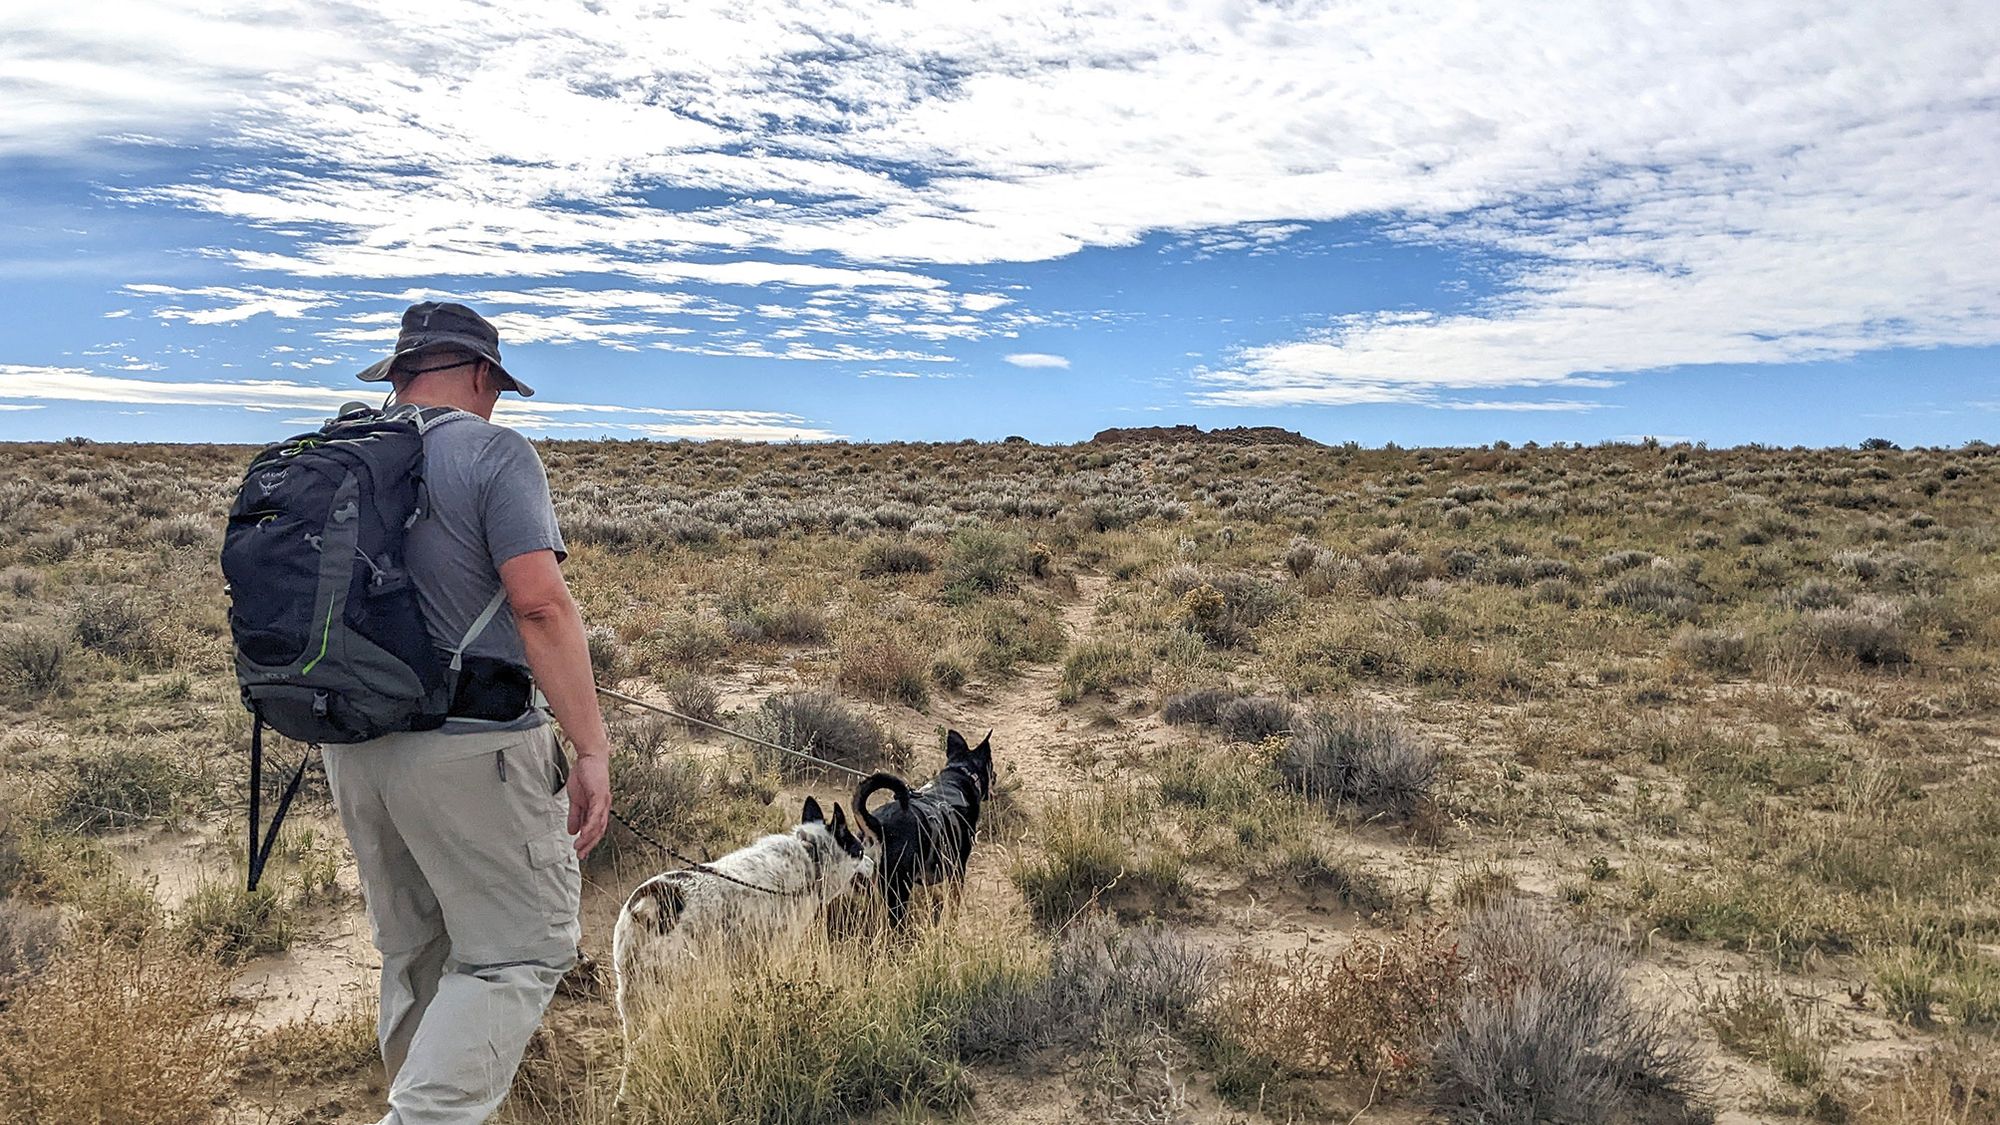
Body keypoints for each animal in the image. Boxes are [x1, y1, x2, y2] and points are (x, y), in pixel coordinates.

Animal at [612, 792, 872, 1048]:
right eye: (860, 851)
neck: (812, 855)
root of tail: (648, 902)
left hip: (630, 996)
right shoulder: (778, 952)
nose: (873, 863)